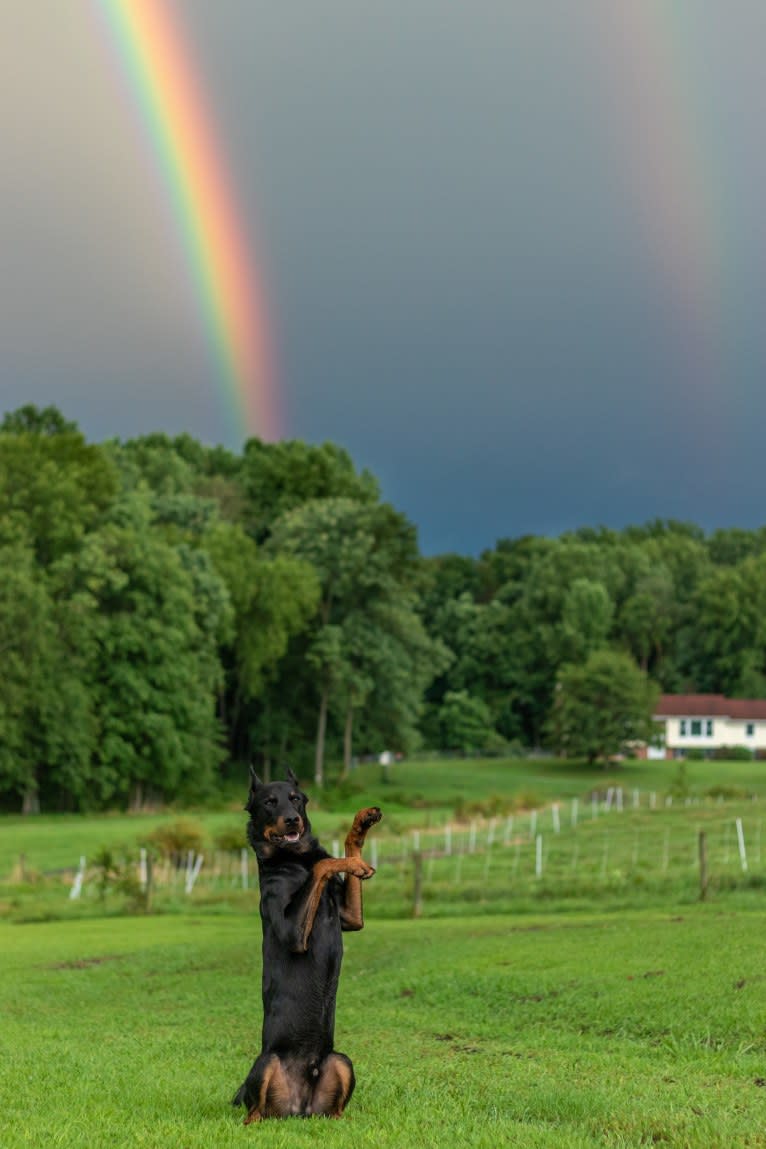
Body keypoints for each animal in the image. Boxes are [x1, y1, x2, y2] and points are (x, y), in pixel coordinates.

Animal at [230, 762, 381, 1121]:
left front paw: (362, 823)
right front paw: (352, 862)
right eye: (269, 802)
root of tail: (298, 1108)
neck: (294, 859)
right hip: (266, 1064)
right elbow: (325, 863)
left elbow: (334, 855)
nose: (292, 820)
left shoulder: (351, 918)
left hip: (340, 1061)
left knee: (334, 1109)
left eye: (296, 798)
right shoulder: (293, 932)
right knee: (252, 1111)